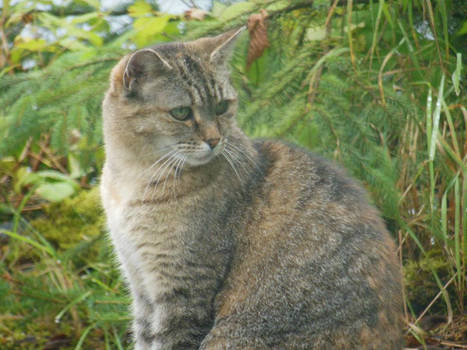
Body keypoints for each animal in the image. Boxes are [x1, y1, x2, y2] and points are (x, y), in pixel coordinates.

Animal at [100, 28, 404, 350]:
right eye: (181, 112)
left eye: (222, 106)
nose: (214, 140)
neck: (131, 178)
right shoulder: (140, 283)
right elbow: (144, 336)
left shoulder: (184, 290)